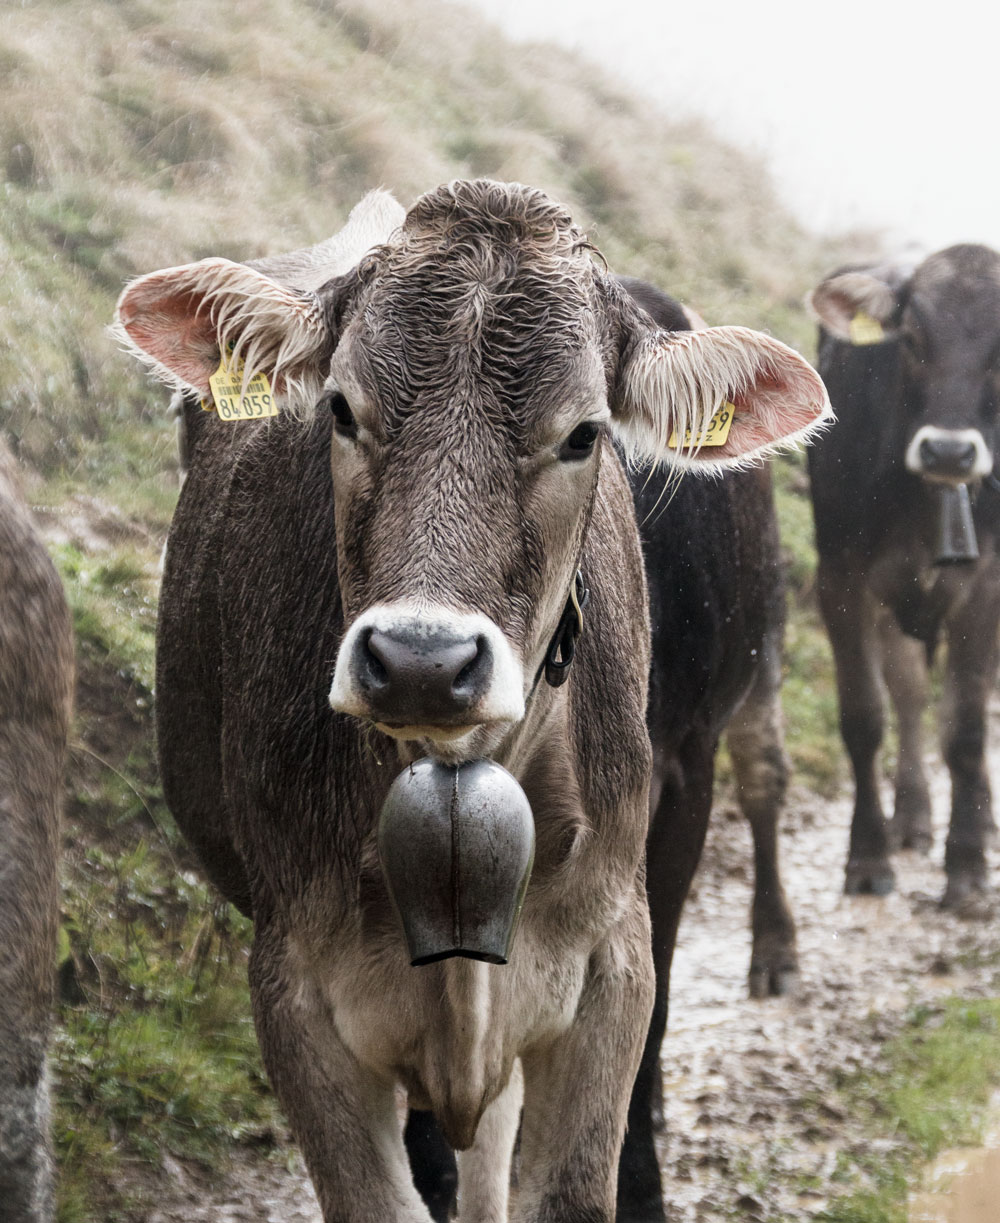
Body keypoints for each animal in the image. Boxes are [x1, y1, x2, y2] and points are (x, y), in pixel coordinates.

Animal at [806, 243, 997, 905]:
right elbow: (866, 715)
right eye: (912, 337)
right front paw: (868, 857)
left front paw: (966, 867)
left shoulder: (986, 587)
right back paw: (911, 818)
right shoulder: (842, 576)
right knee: (911, 695)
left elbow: (966, 727)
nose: (950, 452)